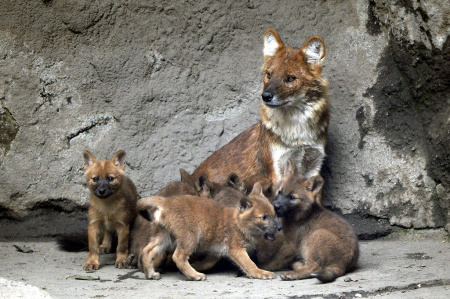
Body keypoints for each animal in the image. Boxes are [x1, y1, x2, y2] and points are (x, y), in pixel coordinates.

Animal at [136, 183, 282, 282]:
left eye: (274, 214)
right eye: (264, 217)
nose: (280, 227)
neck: (238, 223)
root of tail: (166, 201)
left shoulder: (217, 251)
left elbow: (207, 263)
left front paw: (197, 265)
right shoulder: (236, 249)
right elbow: (249, 263)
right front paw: (260, 272)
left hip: (166, 238)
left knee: (147, 251)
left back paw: (150, 274)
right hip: (191, 236)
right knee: (177, 256)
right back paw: (194, 275)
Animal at [192, 28, 328, 188]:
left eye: (290, 78)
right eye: (269, 75)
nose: (265, 96)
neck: (297, 129)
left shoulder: (314, 167)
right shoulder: (276, 170)